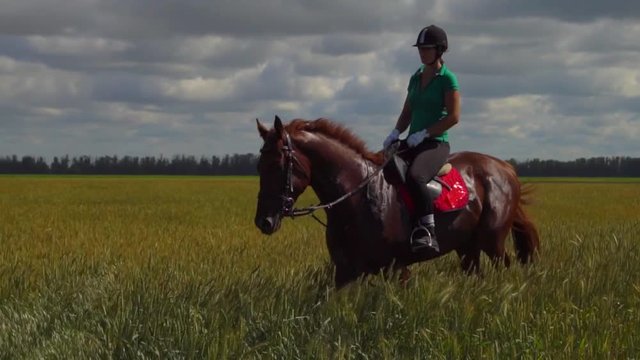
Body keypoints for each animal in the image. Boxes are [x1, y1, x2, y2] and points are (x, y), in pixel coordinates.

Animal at [252, 116, 536, 288]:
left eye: (277, 165)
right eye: (259, 165)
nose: (264, 221)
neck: (359, 197)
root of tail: (506, 168)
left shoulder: (395, 267)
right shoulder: (345, 271)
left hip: (493, 241)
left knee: (505, 267)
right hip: (467, 246)